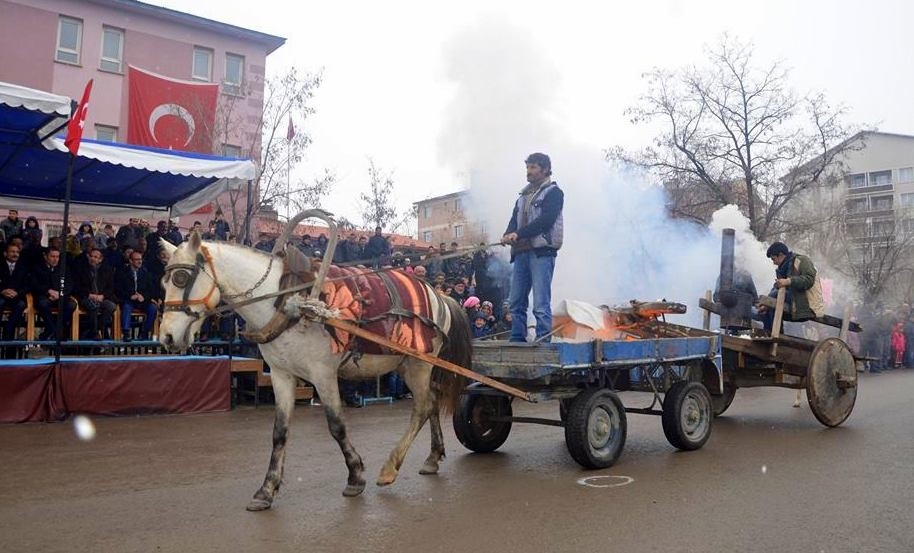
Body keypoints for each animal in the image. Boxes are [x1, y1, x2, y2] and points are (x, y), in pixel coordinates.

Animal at [158, 213, 470, 512]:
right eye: (164, 282)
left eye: (181, 278)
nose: (167, 336)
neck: (287, 300)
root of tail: (440, 295)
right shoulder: (281, 375)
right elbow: (279, 432)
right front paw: (267, 490)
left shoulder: (323, 374)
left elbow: (336, 425)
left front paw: (355, 476)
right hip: (409, 364)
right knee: (432, 400)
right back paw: (432, 457)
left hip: (419, 365)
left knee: (423, 407)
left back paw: (390, 467)